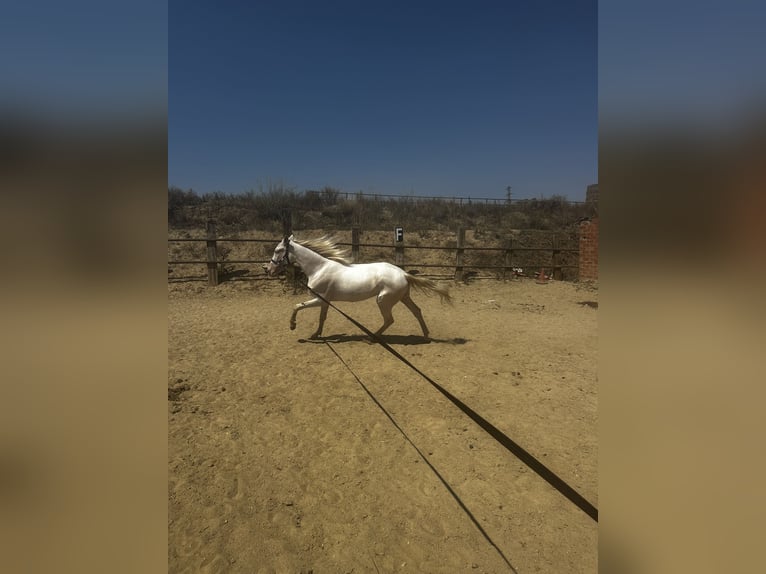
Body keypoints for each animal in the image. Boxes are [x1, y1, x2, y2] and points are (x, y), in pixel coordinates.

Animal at [268, 235, 452, 340]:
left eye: (278, 250)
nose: (268, 269)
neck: (319, 268)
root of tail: (403, 273)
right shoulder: (325, 301)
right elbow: (322, 318)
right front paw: (316, 334)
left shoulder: (319, 299)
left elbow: (297, 306)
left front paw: (293, 326)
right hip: (403, 297)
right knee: (417, 311)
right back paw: (426, 335)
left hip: (383, 300)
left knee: (389, 320)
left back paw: (372, 337)